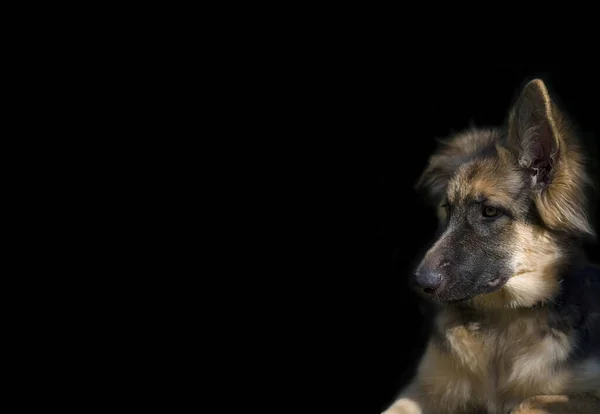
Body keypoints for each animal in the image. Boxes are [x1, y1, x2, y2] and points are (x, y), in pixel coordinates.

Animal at [384, 78, 600, 414]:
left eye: (489, 211)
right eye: (448, 209)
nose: (420, 283)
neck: (506, 320)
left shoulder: (585, 391)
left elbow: (528, 401)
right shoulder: (423, 388)